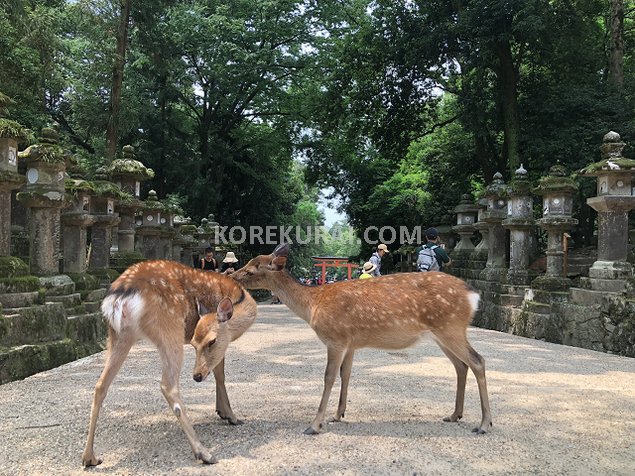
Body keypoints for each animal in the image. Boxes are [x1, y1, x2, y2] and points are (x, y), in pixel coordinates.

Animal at [82, 258, 258, 466]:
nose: (197, 376)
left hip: (120, 335)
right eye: (206, 341)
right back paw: (204, 453)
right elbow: (220, 374)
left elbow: (217, 373)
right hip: (169, 328)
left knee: (100, 385)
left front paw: (222, 412)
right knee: (168, 385)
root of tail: (118, 299)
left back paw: (89, 458)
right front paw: (231, 416)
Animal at [231, 245, 494, 436]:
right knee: (461, 365)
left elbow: (328, 377)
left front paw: (314, 425)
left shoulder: (335, 338)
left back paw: (484, 424)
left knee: (478, 360)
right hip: (442, 334)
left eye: (252, 269)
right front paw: (338, 414)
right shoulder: (351, 343)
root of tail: (473, 295)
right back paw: (454, 414)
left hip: (451, 328)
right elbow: (345, 374)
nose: (230, 275)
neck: (312, 305)